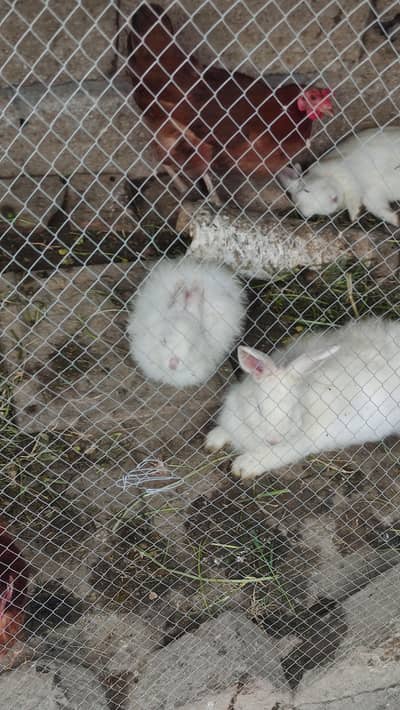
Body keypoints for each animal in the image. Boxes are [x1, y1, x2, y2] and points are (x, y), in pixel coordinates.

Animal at [205, 317, 400, 480]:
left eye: (292, 412)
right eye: (259, 409)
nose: (274, 440)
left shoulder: (300, 442)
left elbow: (271, 455)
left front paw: (243, 466)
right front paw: (212, 440)